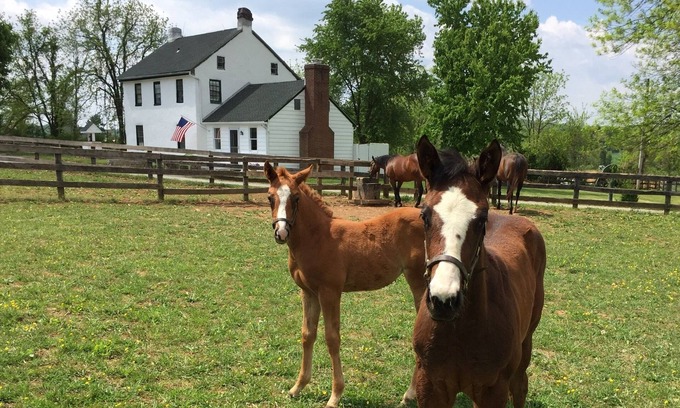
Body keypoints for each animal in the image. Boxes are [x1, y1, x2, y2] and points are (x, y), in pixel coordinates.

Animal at [263, 161, 427, 408]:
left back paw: (410, 394)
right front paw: (298, 387)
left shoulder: (330, 292)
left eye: (296, 198)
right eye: (270, 197)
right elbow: (307, 334)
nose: (281, 233)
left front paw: (335, 395)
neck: (318, 237)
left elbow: (332, 338)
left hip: (419, 280)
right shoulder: (308, 292)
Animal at [412, 135, 546, 407]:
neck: (459, 331)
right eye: (424, 216)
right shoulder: (429, 387)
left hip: (527, 340)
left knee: (520, 386)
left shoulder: (493, 391)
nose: (444, 300)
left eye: (482, 218)